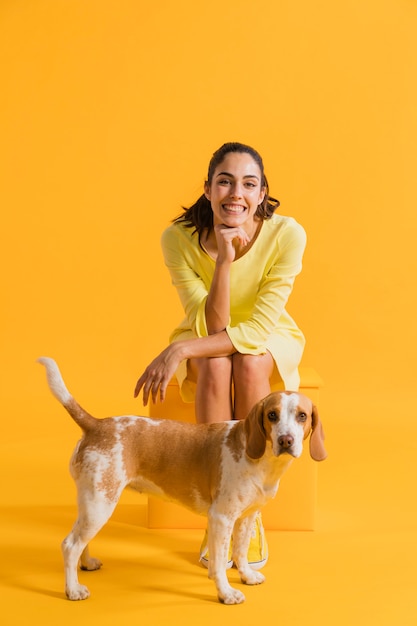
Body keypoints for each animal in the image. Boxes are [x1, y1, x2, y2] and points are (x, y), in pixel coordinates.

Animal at [38, 358, 324, 604]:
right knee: (70, 544)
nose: (286, 440)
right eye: (272, 415)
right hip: (100, 504)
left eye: (302, 416)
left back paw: (86, 565)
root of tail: (96, 424)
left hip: (91, 503)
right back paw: (73, 589)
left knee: (80, 540)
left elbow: (240, 552)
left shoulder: (246, 517)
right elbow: (220, 562)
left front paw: (246, 576)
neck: (261, 459)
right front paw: (226, 593)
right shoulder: (222, 518)